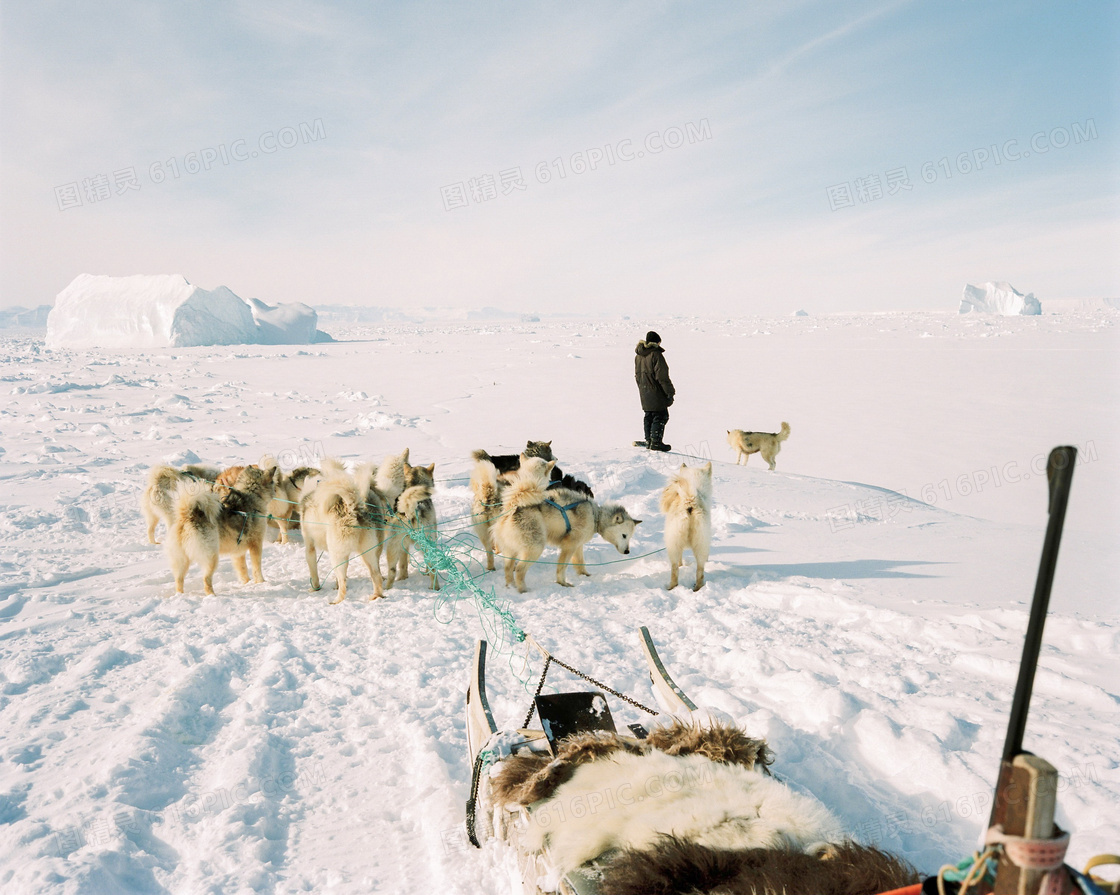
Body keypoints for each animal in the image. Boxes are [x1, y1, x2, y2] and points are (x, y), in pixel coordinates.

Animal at [165, 461, 280, 595]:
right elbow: (257, 568)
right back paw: (212, 595)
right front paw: (261, 582)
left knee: (179, 580)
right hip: (211, 557)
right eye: (273, 482)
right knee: (206, 579)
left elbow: (243, 569)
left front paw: (247, 582)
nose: (276, 490)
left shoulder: (238, 553)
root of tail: (188, 515)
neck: (251, 496)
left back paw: (181, 594)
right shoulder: (256, 544)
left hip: (181, 560)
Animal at [300, 461, 387, 600]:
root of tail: (355, 510)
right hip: (368, 553)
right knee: (376, 575)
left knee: (343, 582)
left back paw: (336, 600)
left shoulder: (309, 547)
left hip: (336, 555)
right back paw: (376, 595)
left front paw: (315, 588)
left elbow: (314, 572)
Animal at [492, 459, 557, 591]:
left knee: (508, 569)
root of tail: (512, 507)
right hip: (534, 549)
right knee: (519, 570)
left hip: (509, 551)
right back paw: (523, 589)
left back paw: (510, 586)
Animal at [658, 461, 712, 595]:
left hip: (674, 545)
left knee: (675, 570)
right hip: (700, 545)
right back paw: (697, 588)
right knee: (699, 571)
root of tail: (690, 500)